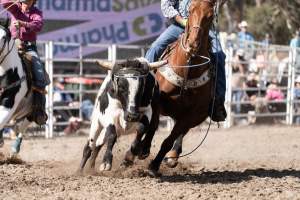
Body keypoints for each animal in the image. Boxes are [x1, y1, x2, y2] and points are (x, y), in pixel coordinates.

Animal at [139, 0, 219, 175]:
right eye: (190, 10)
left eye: (210, 16)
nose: (193, 44)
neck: (187, 68)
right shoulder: (157, 101)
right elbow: (153, 125)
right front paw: (143, 149)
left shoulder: (191, 114)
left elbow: (169, 140)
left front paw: (154, 166)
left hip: (194, 116)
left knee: (181, 132)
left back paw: (173, 156)